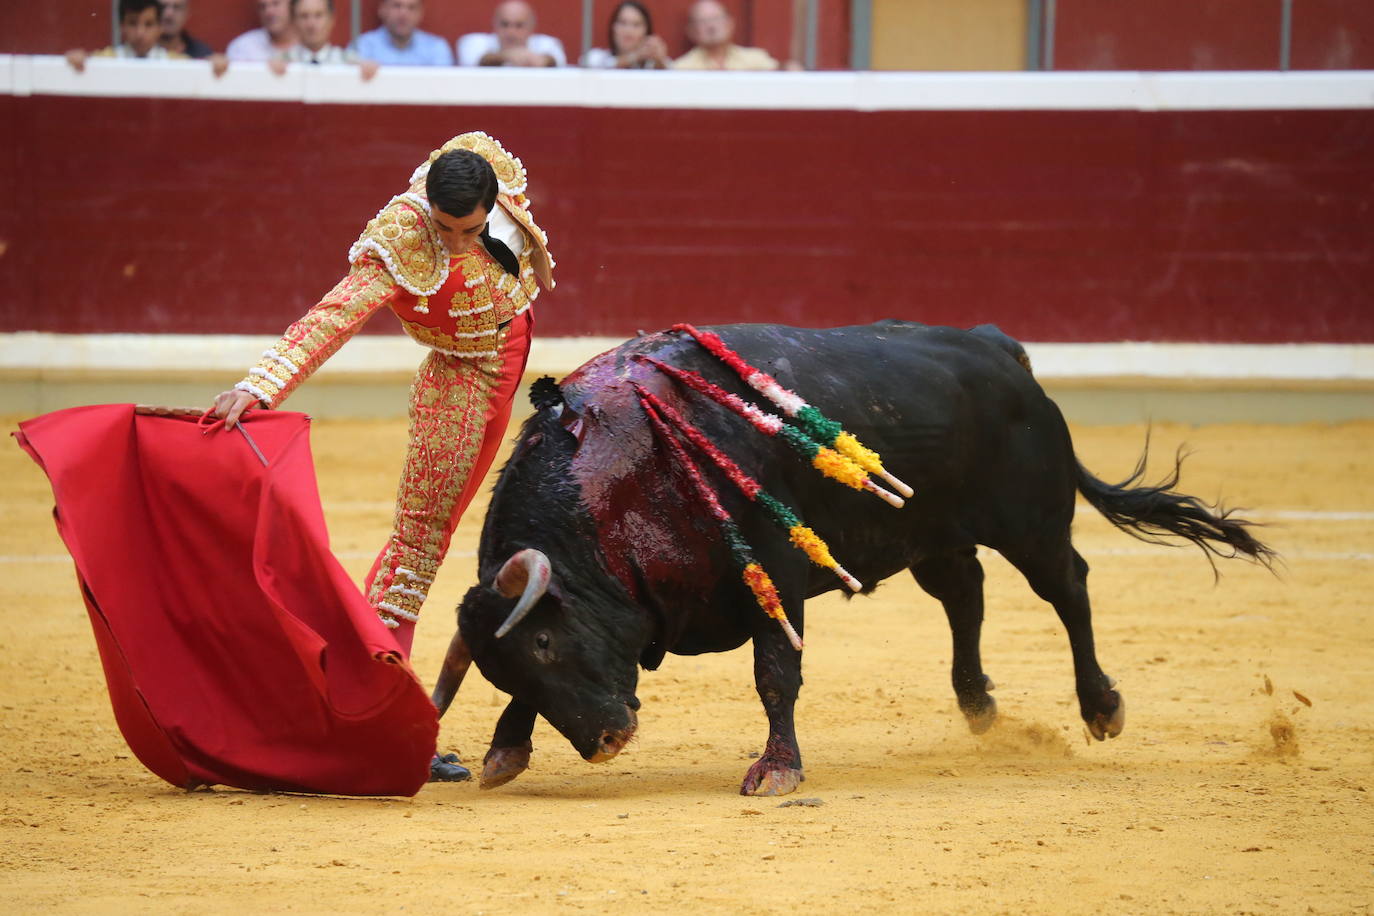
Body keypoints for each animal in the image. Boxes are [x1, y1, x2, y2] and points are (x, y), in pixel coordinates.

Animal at [428, 322, 1275, 796]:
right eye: (508, 667)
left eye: (545, 641)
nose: (607, 742)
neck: (629, 467)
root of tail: (1002, 350)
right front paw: (504, 750)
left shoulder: (774, 571)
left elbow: (776, 673)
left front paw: (777, 769)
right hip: (932, 533)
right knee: (965, 594)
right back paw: (978, 704)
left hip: (1031, 521)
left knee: (1067, 589)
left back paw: (1101, 707)